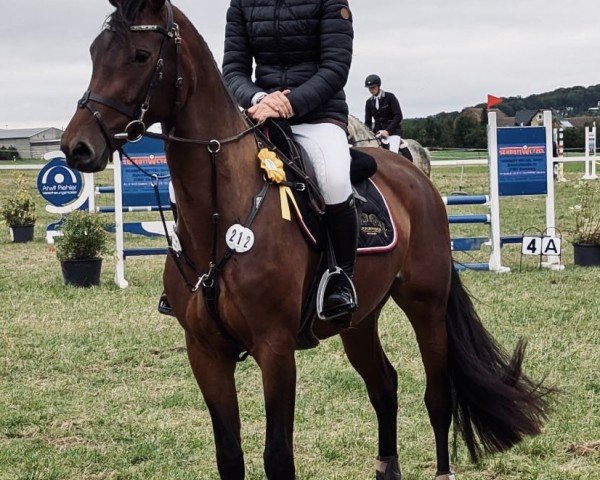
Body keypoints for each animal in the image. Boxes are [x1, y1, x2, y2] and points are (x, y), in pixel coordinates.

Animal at [61, 1, 552, 478]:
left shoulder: (275, 349)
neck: (222, 217)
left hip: (425, 306)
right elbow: (229, 455)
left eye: (141, 56)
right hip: (358, 320)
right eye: (93, 53)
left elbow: (278, 456)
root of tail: (416, 177)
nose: (76, 147)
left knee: (437, 396)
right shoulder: (205, 352)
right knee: (385, 386)